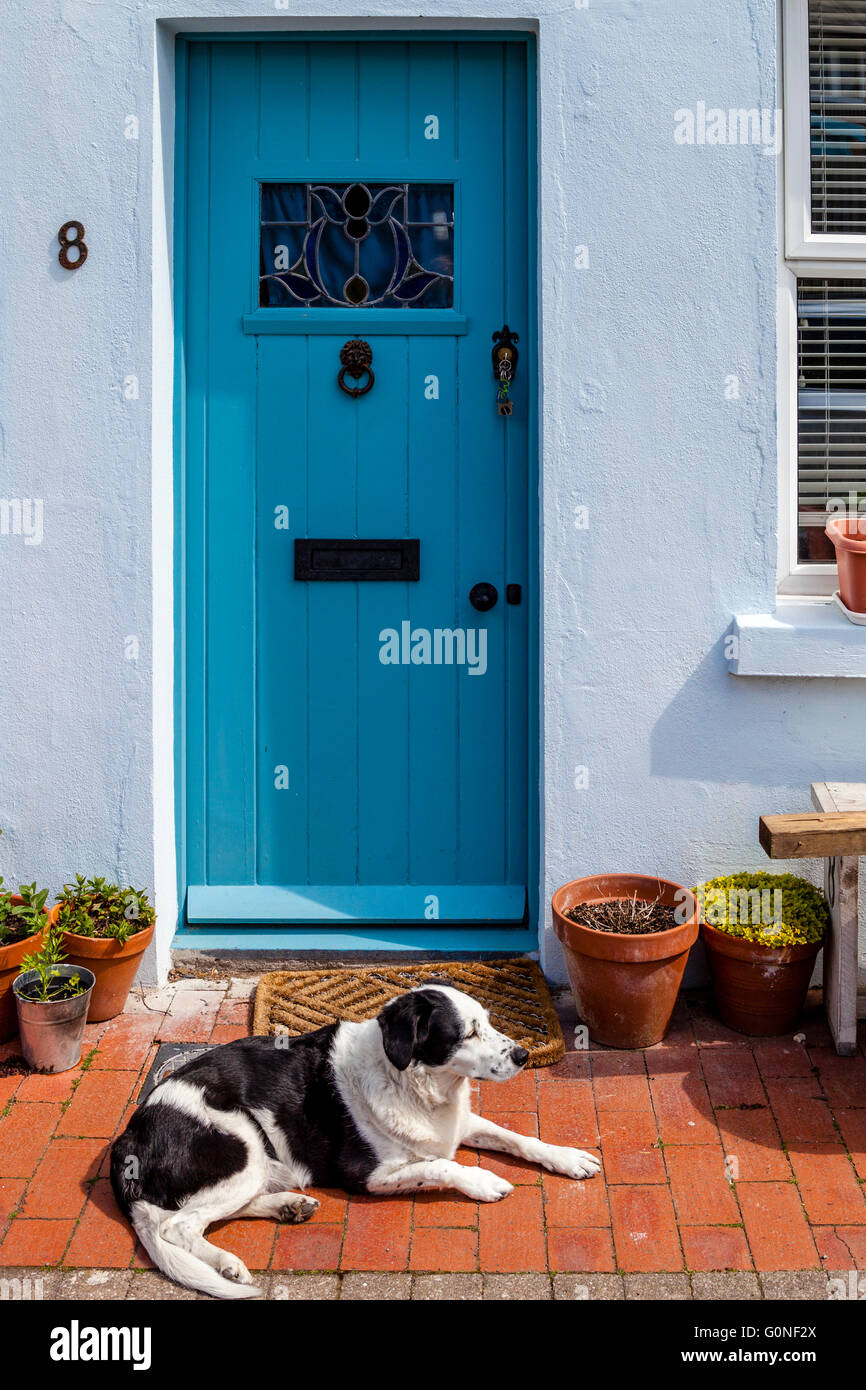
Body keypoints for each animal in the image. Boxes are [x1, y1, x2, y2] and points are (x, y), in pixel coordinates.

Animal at [111, 984, 600, 1295]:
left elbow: (519, 1137)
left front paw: (568, 1157)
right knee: (177, 1225)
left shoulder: (461, 1125)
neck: (407, 1080)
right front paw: (483, 1182)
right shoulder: (367, 1175)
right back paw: (227, 1264)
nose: (521, 1054)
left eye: (489, 1023)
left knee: (213, 1211)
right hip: (243, 1142)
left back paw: (286, 1207)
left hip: (253, 1164)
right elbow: (442, 1164)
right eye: (468, 1032)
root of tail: (128, 1141)